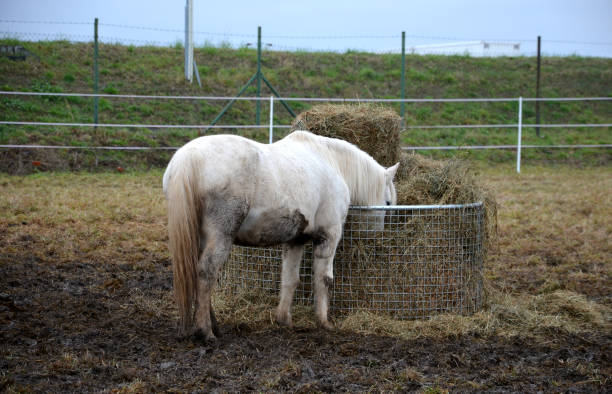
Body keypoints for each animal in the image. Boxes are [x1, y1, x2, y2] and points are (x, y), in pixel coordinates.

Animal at [163, 131, 400, 340]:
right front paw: (323, 322)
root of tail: (190, 156)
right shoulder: (328, 237)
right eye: (388, 202)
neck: (330, 161)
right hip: (220, 236)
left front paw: (284, 319)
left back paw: (213, 326)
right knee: (207, 271)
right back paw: (206, 331)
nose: (379, 233)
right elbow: (324, 280)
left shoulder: (295, 241)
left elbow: (289, 279)